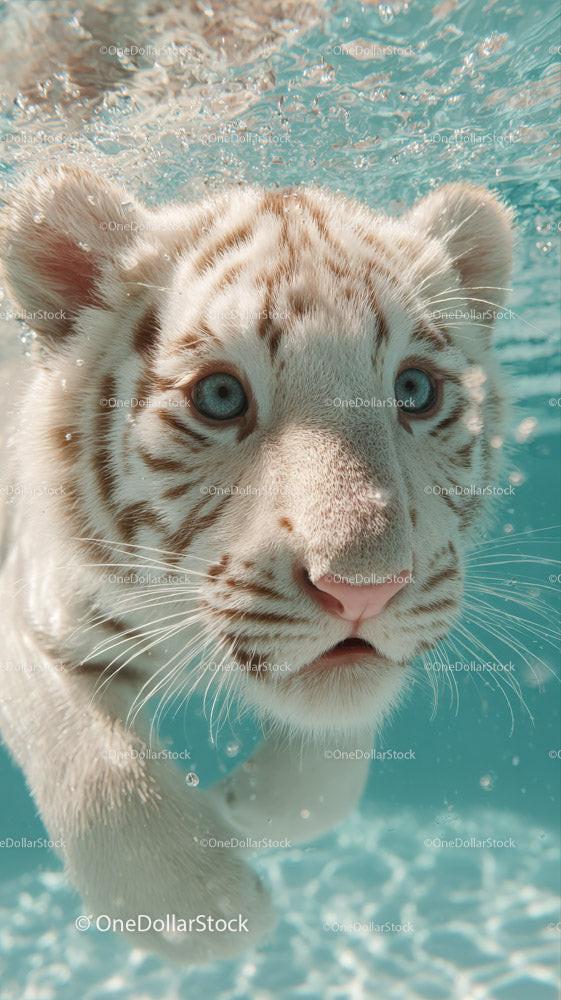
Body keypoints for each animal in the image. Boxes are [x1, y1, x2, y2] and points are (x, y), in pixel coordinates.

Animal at [0, 166, 512, 961]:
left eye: (415, 390)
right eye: (219, 396)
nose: (364, 592)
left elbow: (330, 762)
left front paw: (243, 810)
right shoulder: (29, 607)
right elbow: (96, 773)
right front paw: (203, 909)